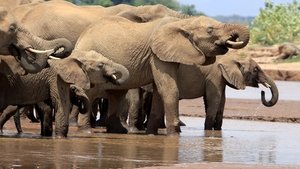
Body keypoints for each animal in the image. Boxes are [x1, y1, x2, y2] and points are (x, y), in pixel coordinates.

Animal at [64, 15, 250, 135]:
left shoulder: (164, 55)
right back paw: (86, 132)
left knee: (117, 94)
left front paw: (152, 134)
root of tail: (81, 37)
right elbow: (169, 89)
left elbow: (160, 91)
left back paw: (118, 132)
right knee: (91, 92)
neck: (182, 22)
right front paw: (174, 134)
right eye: (210, 30)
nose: (233, 36)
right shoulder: (156, 54)